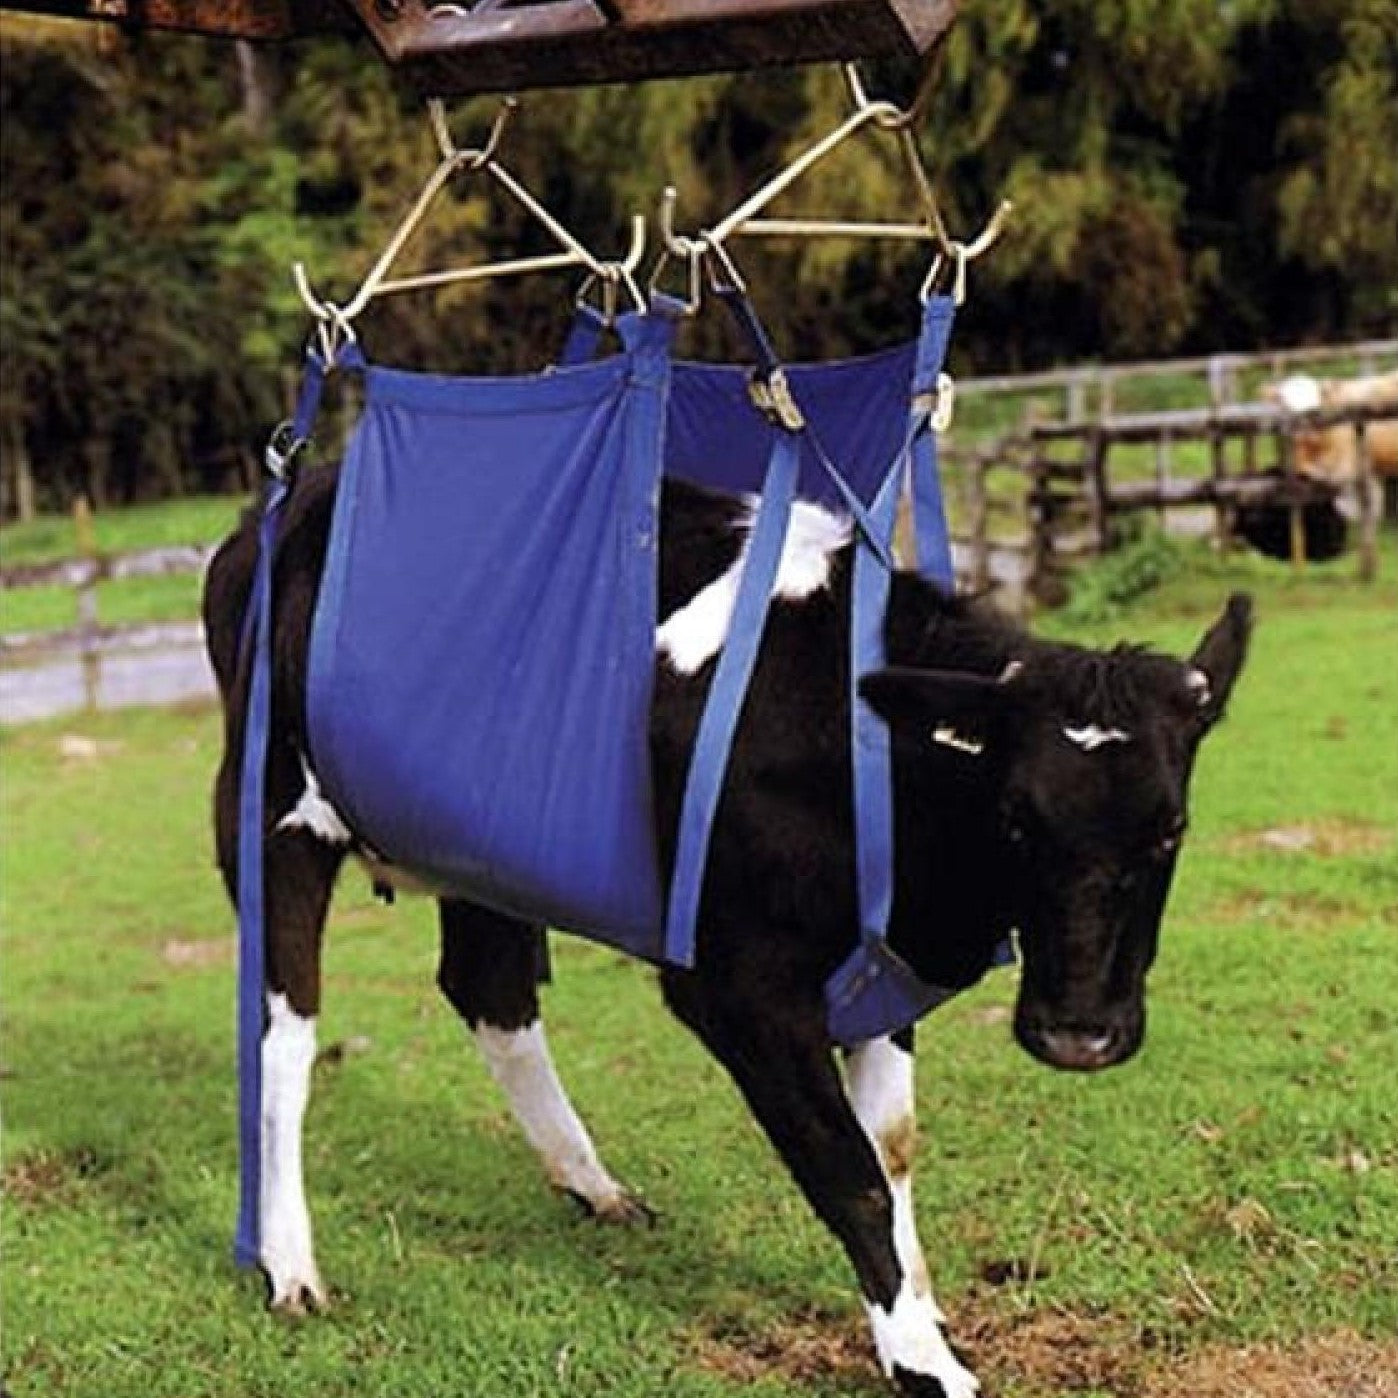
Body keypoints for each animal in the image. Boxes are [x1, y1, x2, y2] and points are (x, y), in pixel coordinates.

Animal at [203, 464, 1251, 1398]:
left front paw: (920, 1308)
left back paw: (591, 1183)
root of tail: (285, 500)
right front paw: (922, 1361)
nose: (1081, 1034)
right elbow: (850, 1171)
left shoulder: (882, 967)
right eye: (1017, 819)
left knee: (489, 990)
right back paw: (291, 1262)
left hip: (481, 848)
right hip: (271, 813)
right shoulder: (738, 987)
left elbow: (894, 1144)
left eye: (1171, 828)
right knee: (284, 1032)